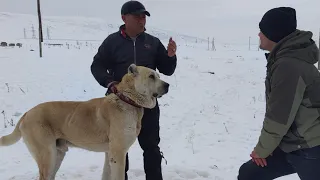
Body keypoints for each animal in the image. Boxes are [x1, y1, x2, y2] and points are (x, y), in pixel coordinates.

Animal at [0, 64, 170, 180]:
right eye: (151, 76)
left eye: (158, 74)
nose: (167, 85)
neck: (127, 100)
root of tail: (26, 114)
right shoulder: (118, 153)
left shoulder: (109, 153)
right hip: (47, 155)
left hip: (57, 155)